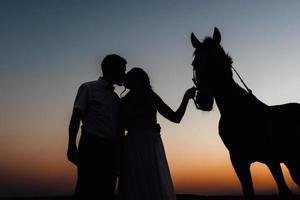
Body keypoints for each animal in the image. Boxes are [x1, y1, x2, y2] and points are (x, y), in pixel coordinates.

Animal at [190, 27, 300, 198]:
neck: (239, 111)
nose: (204, 100)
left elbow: (284, 190)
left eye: (222, 62)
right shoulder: (238, 162)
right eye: (195, 63)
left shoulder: (271, 160)